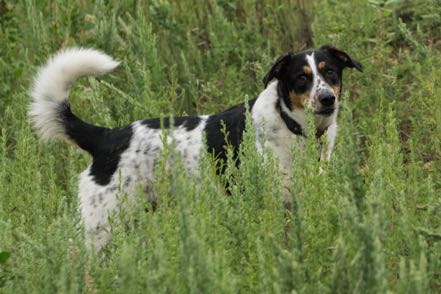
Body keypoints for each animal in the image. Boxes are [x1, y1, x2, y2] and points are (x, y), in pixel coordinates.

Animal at [29, 44, 362, 249]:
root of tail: (106, 137)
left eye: (330, 72)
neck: (292, 126)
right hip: (102, 226)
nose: (327, 99)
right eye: (301, 79)